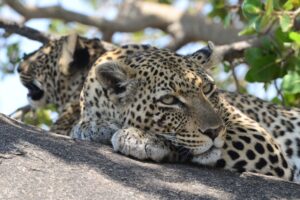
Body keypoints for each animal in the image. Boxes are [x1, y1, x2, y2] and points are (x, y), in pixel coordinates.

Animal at [71, 43, 298, 183]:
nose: (214, 131)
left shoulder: (258, 136)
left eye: (207, 89)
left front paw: (141, 138)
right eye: (169, 100)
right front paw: (92, 128)